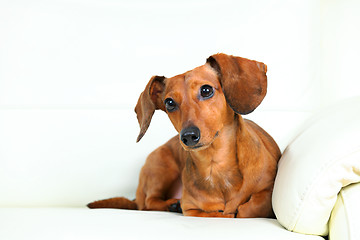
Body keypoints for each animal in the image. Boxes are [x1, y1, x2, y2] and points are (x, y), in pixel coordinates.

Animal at [87, 54, 282, 218]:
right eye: (169, 103)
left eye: (206, 90)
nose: (188, 136)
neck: (215, 165)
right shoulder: (191, 209)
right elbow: (215, 213)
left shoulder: (268, 191)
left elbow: (247, 208)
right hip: (162, 167)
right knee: (148, 203)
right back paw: (172, 204)